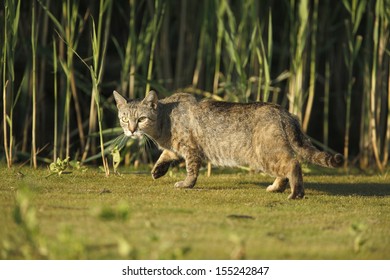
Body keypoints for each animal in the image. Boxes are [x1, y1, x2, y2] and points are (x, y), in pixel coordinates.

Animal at [112, 90, 342, 199]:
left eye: (141, 119)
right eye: (124, 119)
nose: (131, 130)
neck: (163, 121)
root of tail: (284, 112)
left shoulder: (191, 149)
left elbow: (191, 171)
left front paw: (186, 184)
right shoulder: (177, 147)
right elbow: (166, 155)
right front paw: (157, 170)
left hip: (265, 154)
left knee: (293, 164)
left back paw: (296, 193)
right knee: (285, 169)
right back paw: (276, 187)